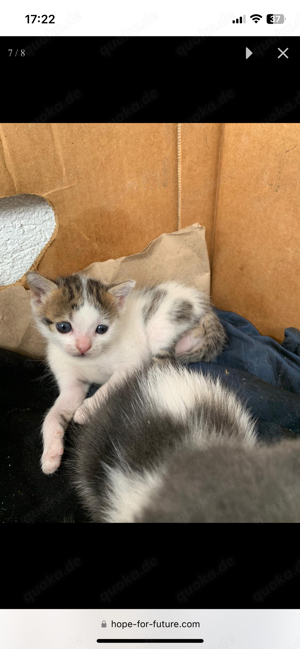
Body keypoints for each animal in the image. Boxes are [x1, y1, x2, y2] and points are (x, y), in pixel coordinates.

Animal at [27, 270, 225, 474]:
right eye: (64, 327)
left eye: (101, 329)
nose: (83, 347)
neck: (90, 359)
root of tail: (200, 301)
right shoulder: (70, 383)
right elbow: (53, 415)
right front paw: (51, 454)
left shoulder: (130, 364)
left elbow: (109, 387)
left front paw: (86, 410)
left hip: (160, 323)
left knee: (163, 362)